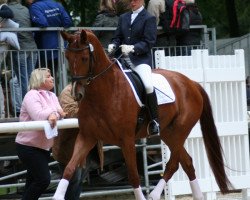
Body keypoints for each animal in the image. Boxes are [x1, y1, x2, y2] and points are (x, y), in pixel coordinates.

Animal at [52, 30, 232, 200]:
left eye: (84, 58)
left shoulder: (127, 140)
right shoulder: (87, 136)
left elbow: (133, 176)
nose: (77, 94)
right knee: (187, 162)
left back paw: (153, 195)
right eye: (67, 57)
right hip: (168, 133)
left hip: (180, 130)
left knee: (173, 164)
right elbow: (69, 168)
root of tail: (192, 83)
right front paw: (58, 195)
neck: (104, 92)